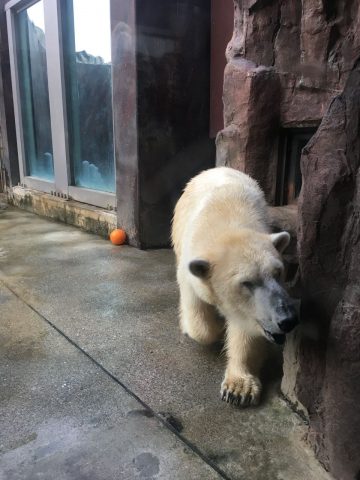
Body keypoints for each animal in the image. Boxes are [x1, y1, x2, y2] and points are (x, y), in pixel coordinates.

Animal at [172, 167, 298, 406]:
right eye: (247, 283)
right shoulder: (189, 269)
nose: (287, 319)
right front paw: (210, 328)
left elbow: (247, 330)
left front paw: (238, 389)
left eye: (278, 272)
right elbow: (201, 323)